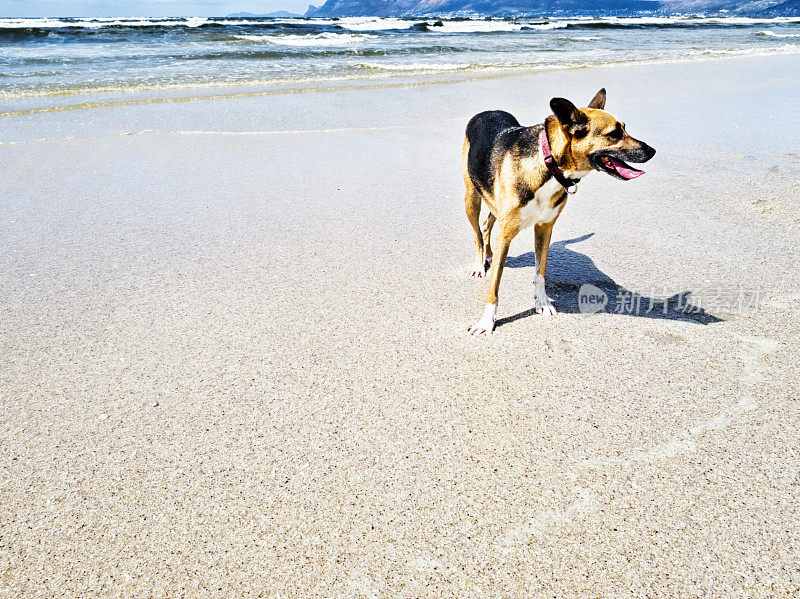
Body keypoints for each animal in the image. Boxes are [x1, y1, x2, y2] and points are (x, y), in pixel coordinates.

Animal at [462, 88, 656, 338]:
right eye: (614, 134)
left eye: (624, 128)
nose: (652, 150)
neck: (550, 165)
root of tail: (488, 111)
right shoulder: (506, 232)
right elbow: (495, 283)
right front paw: (487, 321)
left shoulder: (544, 228)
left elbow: (540, 273)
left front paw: (542, 304)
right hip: (471, 198)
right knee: (478, 232)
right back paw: (479, 263)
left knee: (486, 225)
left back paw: (488, 255)